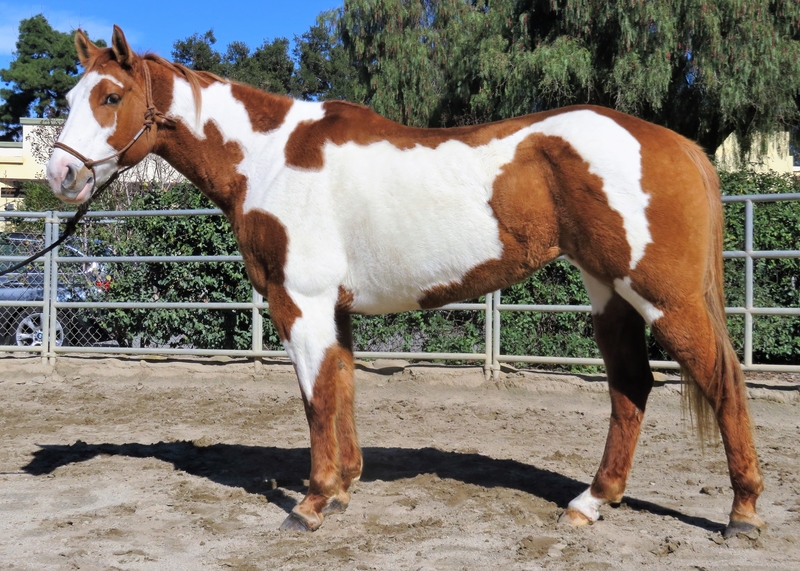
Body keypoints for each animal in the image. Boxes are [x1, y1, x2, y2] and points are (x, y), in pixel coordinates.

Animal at [46, 26, 764, 537]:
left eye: (111, 97)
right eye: (72, 98)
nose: (60, 175)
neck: (270, 158)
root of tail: (678, 144)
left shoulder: (299, 302)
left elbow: (315, 399)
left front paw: (309, 503)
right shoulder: (333, 309)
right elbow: (340, 389)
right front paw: (342, 490)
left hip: (664, 297)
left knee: (722, 383)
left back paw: (743, 514)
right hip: (610, 293)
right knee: (631, 388)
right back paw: (590, 501)